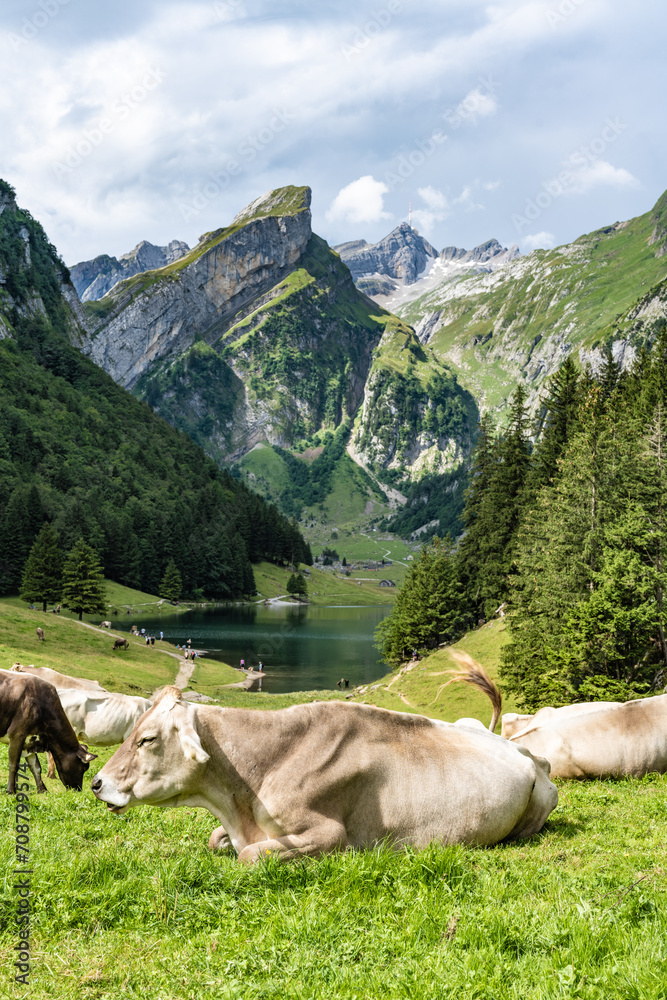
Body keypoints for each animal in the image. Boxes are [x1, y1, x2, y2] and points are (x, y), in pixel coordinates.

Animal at [90, 684, 560, 864]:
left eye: (146, 739)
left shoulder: (329, 833)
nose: (97, 783)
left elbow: (248, 856)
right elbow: (216, 840)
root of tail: (529, 754)